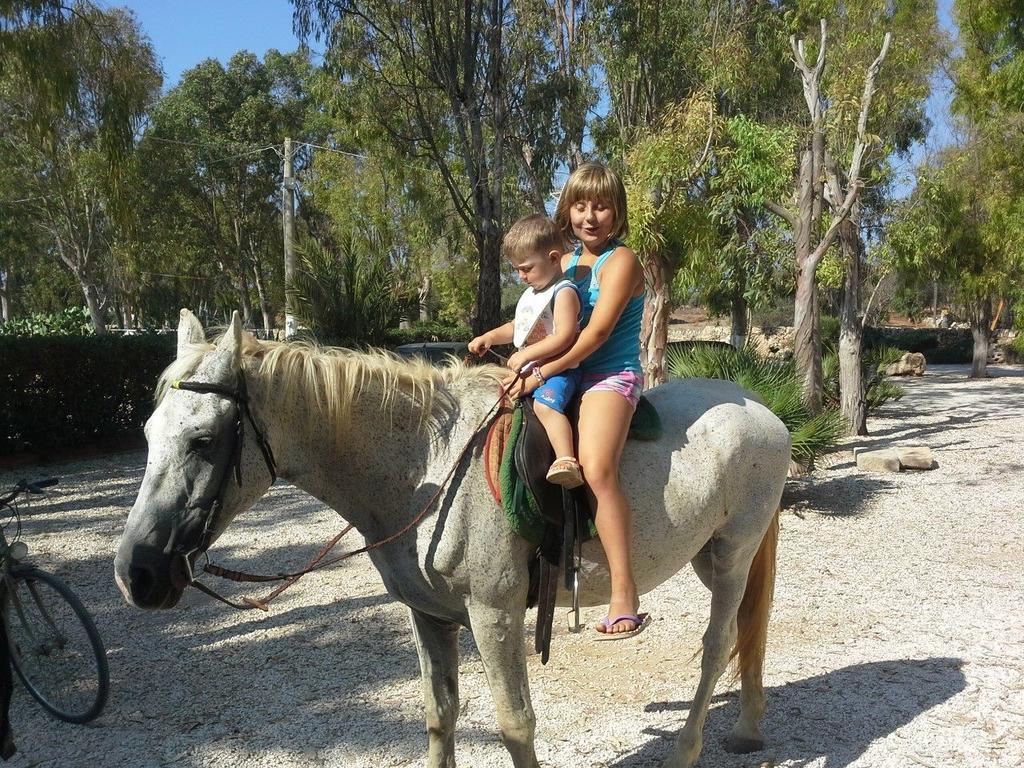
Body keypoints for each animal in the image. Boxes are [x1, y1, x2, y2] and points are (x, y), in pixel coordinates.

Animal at [114, 313, 790, 768]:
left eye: (203, 440)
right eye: (145, 433)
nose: (136, 573)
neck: (428, 469)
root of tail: (761, 406)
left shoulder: (494, 615)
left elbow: (516, 724)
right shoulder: (429, 615)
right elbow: (440, 715)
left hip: (733, 553)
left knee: (717, 644)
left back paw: (687, 748)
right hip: (709, 556)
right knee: (745, 635)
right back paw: (749, 729)